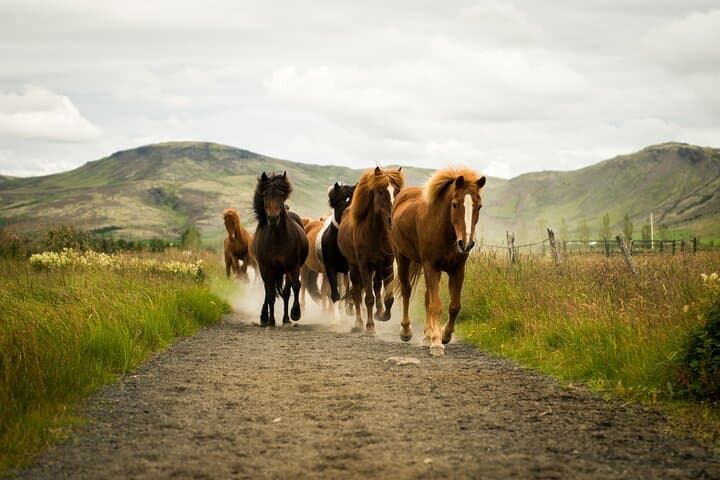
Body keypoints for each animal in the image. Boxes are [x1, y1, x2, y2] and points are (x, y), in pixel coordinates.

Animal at [252, 171, 309, 327]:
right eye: (265, 194)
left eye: (281, 195)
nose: (273, 218)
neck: (277, 238)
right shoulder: (267, 268)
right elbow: (271, 295)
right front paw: (271, 320)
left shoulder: (293, 266)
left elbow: (295, 287)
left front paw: (295, 314)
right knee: (268, 291)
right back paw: (265, 317)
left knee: (286, 291)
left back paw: (286, 318)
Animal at [338, 167, 404, 334]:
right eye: (381, 191)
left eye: (397, 191)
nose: (392, 219)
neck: (376, 234)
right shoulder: (365, 266)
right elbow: (368, 298)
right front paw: (369, 326)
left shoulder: (387, 265)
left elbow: (388, 297)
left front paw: (383, 315)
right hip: (354, 267)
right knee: (357, 294)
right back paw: (358, 323)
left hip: (378, 268)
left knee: (377, 287)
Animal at [390, 167, 486, 355]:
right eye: (455, 204)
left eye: (479, 206)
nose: (466, 243)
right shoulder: (431, 266)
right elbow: (435, 305)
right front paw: (436, 343)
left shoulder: (457, 269)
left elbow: (454, 306)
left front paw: (444, 335)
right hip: (402, 258)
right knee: (406, 291)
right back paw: (406, 331)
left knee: (427, 297)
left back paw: (427, 336)